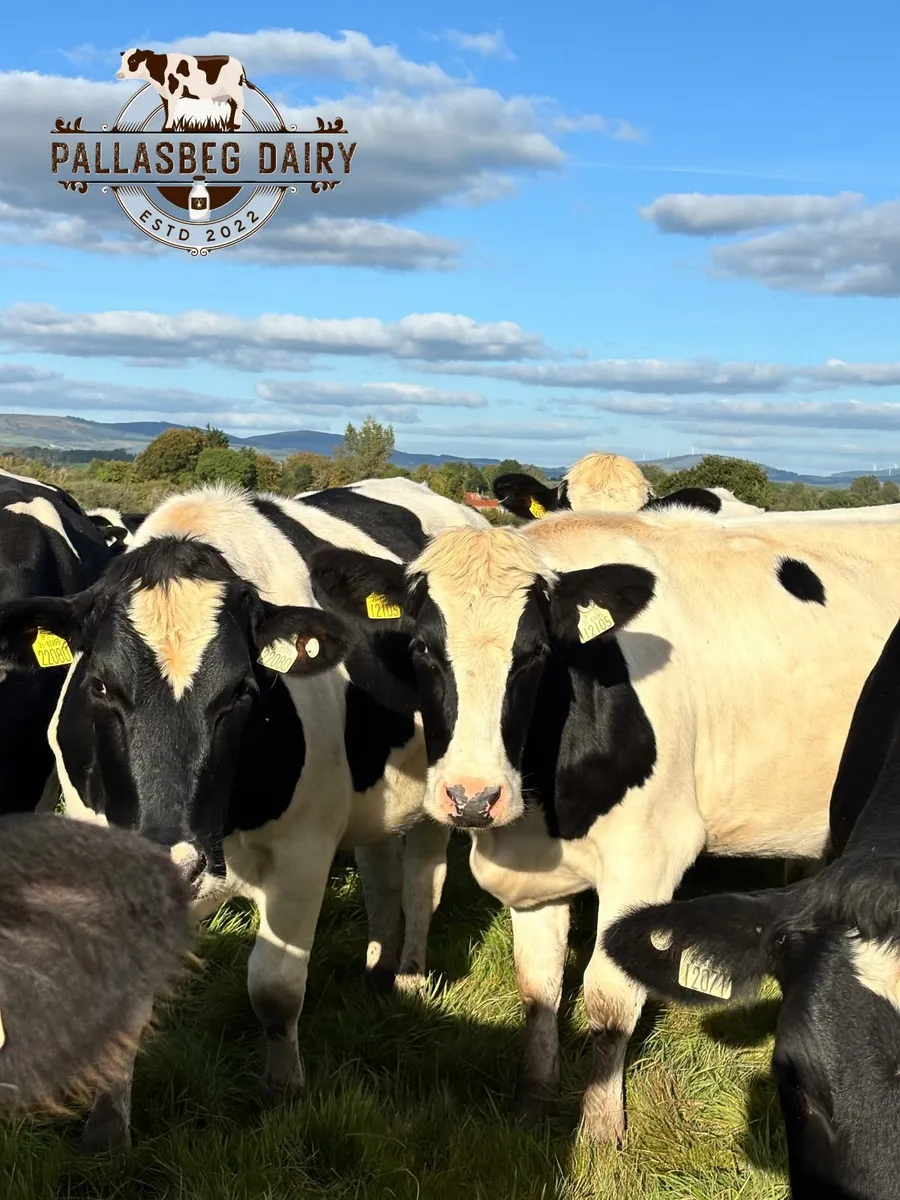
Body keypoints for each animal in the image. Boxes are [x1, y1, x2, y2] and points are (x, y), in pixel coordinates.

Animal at [116, 50, 258, 131]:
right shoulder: (164, 95)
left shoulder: (173, 91)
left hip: (234, 89)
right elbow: (167, 110)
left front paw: (168, 127)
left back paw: (236, 125)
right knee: (233, 105)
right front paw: (165, 127)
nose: (119, 74)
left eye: (133, 59)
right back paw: (229, 125)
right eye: (122, 60)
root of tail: (238, 63)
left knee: (240, 103)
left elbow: (171, 109)